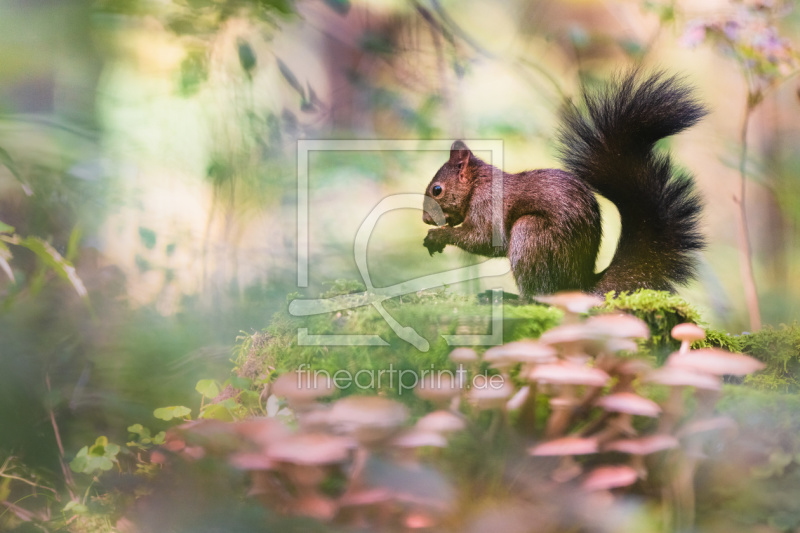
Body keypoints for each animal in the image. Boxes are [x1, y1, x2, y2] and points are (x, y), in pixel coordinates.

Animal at [418, 69, 708, 296]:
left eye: (437, 190)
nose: (425, 219)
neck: (479, 183)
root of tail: (579, 284)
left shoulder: (488, 205)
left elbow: (482, 239)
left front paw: (438, 236)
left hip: (531, 235)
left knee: (540, 294)